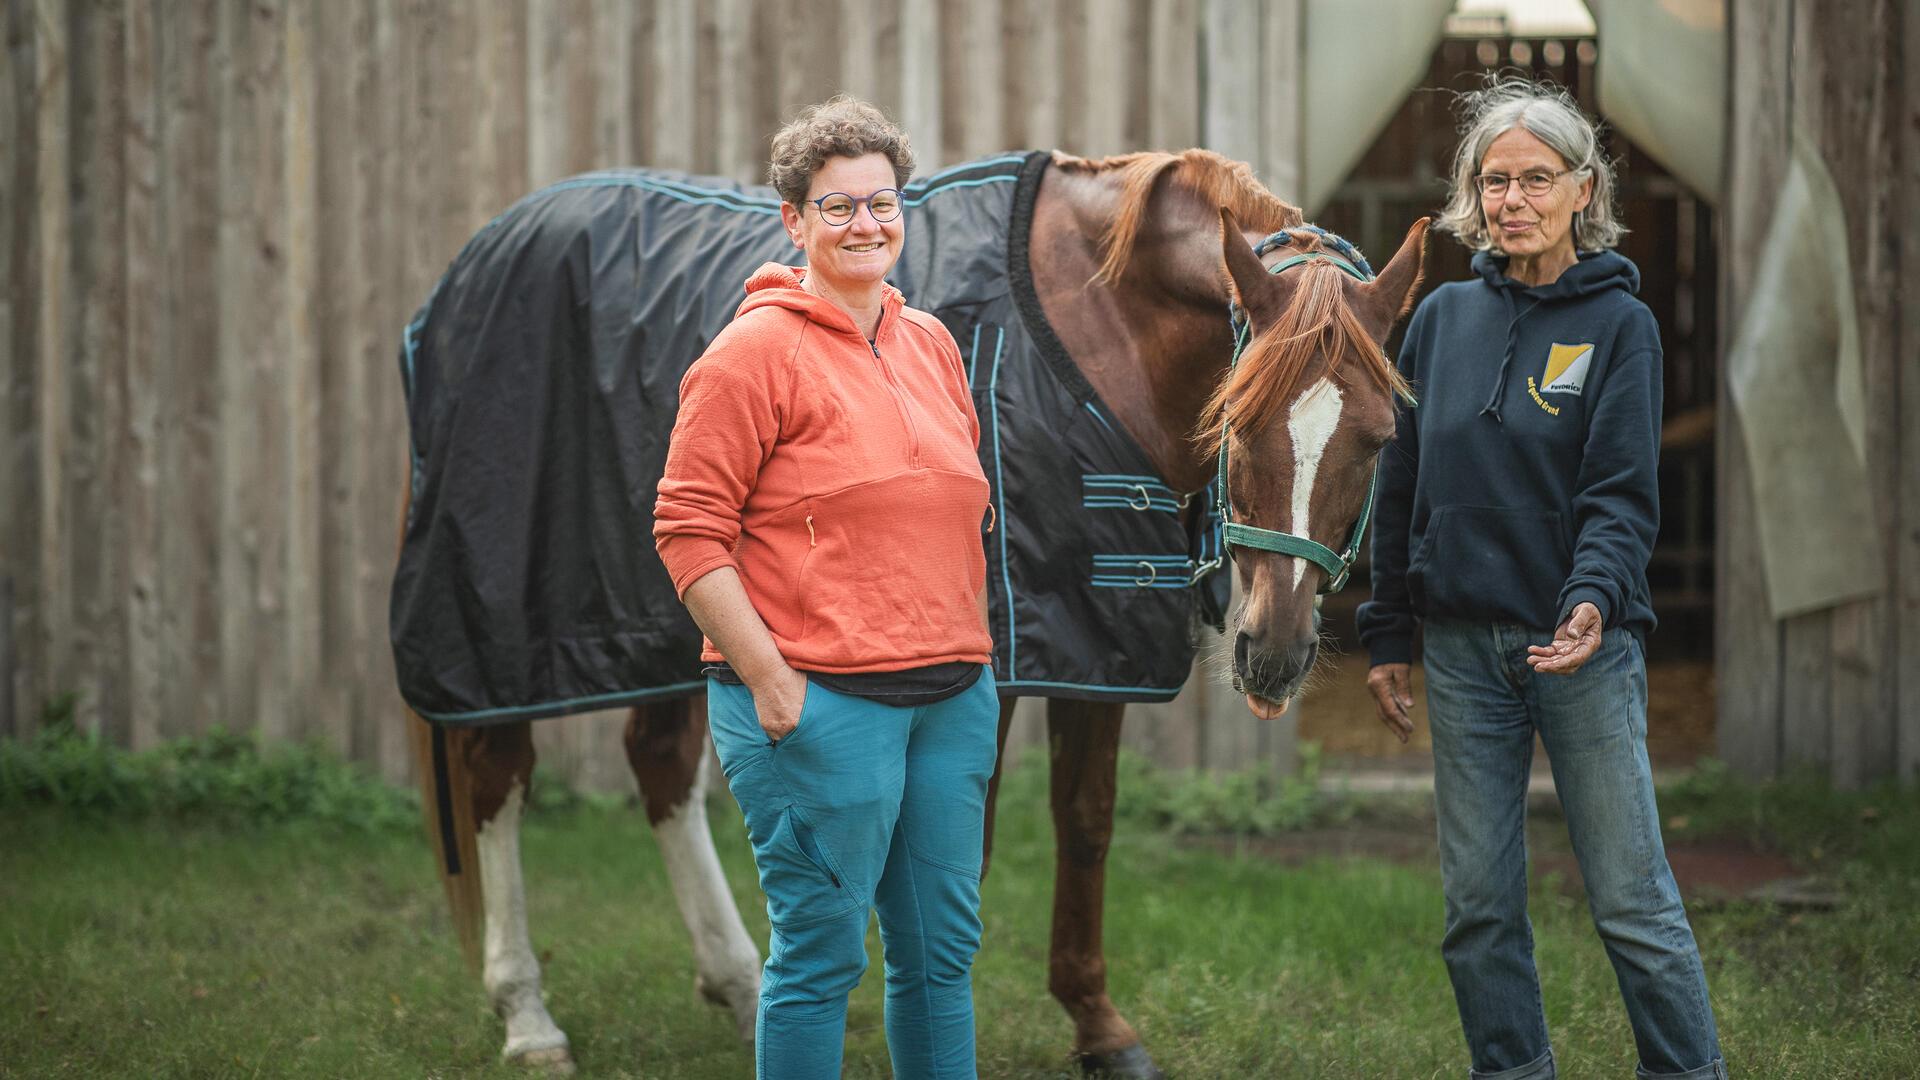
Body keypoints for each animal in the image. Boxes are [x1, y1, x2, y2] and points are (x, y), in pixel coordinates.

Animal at [405, 147, 1428, 1068]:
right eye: (1239, 420)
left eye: (1381, 437)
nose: (1274, 654)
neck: (1097, 327)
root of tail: (473, 263)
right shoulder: (997, 660)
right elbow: (963, 856)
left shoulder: (1094, 640)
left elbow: (1085, 823)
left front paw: (1099, 1028)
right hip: (499, 627)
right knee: (497, 777)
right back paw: (529, 1016)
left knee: (659, 765)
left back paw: (737, 985)